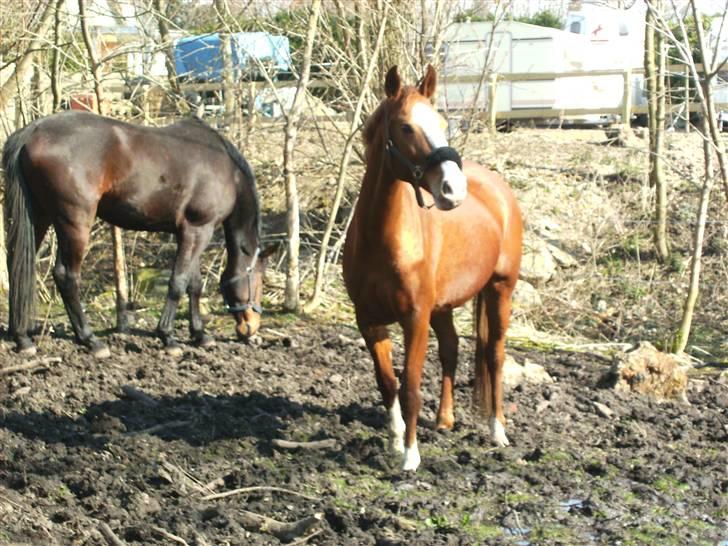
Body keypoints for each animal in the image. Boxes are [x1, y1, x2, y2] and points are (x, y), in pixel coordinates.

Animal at [1, 110, 268, 356]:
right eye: (258, 279)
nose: (251, 327)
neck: (226, 168)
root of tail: (33, 130)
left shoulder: (193, 232)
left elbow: (194, 284)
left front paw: (200, 335)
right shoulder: (198, 230)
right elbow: (178, 283)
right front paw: (167, 336)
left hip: (39, 217)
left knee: (16, 266)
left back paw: (22, 337)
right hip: (74, 222)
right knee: (66, 276)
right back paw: (90, 340)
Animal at [342, 66, 524, 470]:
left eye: (441, 122)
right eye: (406, 127)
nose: (453, 190)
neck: (382, 239)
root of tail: (498, 188)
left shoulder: (415, 317)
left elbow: (410, 384)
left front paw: (411, 456)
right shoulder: (369, 320)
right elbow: (387, 382)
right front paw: (395, 441)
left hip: (499, 290)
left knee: (495, 357)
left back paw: (498, 430)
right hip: (443, 305)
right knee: (451, 349)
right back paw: (444, 419)